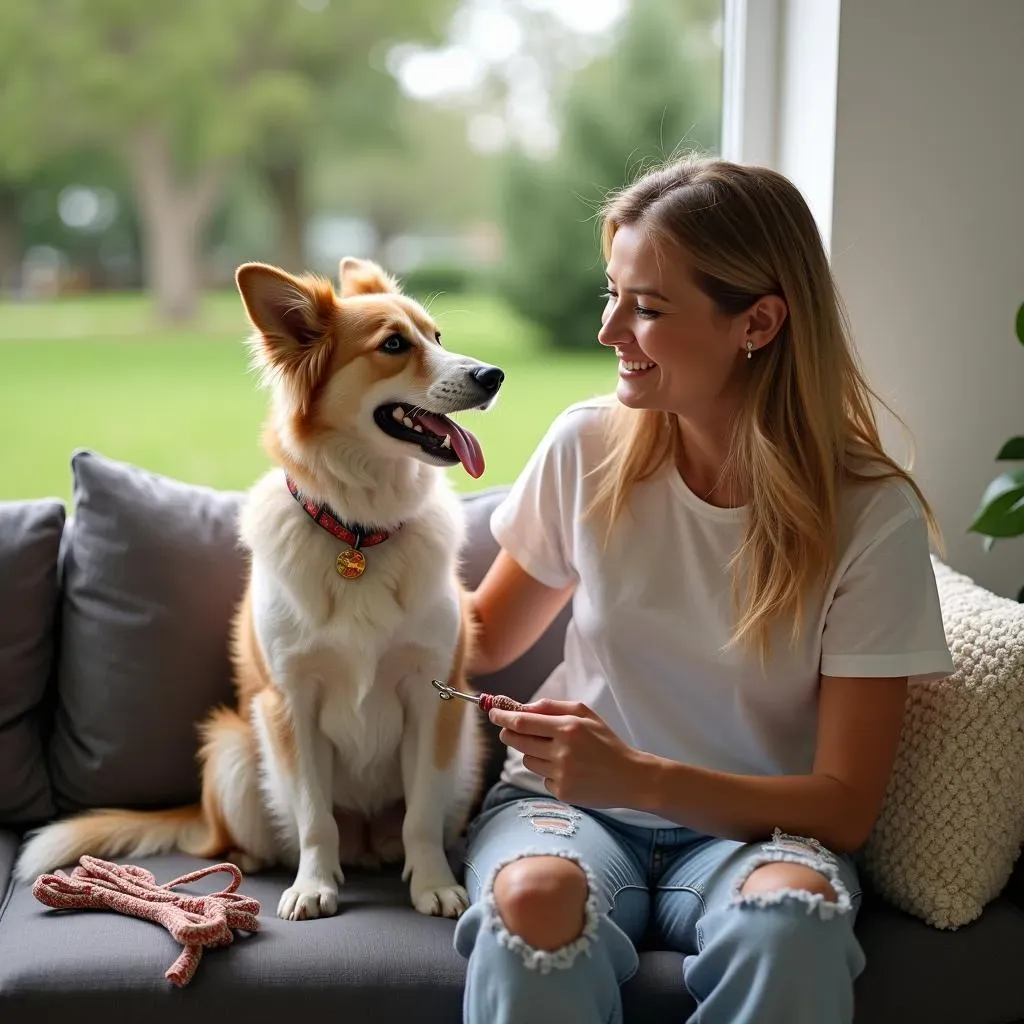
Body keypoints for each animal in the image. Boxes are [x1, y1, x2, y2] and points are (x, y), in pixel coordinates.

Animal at [16, 253, 503, 921]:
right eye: (394, 345)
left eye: (437, 336)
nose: (493, 375)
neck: (359, 531)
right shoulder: (289, 702)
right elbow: (314, 816)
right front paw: (314, 885)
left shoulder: (435, 697)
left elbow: (421, 815)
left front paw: (431, 883)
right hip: (232, 750)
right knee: (232, 842)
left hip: (467, 749)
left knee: (398, 829)